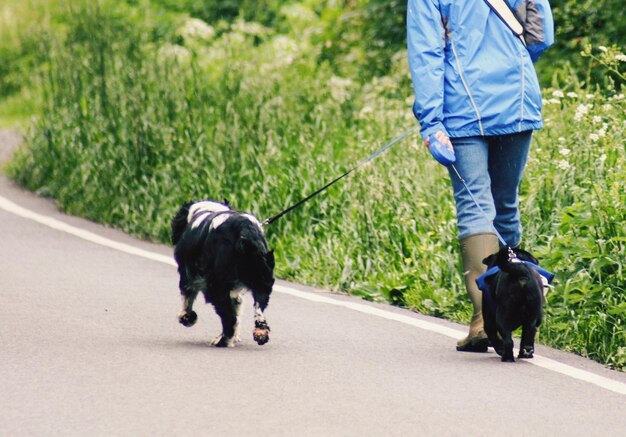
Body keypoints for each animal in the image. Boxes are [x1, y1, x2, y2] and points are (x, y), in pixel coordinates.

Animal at [173, 199, 276, 346]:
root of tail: (244, 230)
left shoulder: (188, 275)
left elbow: (187, 300)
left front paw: (187, 318)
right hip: (262, 280)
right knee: (258, 311)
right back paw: (260, 334)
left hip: (215, 286)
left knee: (229, 317)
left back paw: (221, 341)